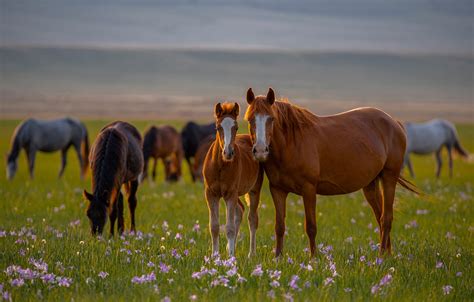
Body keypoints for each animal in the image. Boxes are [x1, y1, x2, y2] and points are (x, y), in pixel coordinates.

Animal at [203, 102, 264, 258]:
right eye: (218, 127)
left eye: (235, 127)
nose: (228, 153)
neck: (220, 166)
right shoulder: (211, 194)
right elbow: (214, 226)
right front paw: (215, 256)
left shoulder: (230, 193)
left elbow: (229, 228)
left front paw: (230, 257)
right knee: (240, 211)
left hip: (253, 190)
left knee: (252, 218)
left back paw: (251, 254)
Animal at [243, 87, 416, 258]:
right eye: (250, 119)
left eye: (271, 119)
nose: (260, 150)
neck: (291, 144)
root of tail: (394, 123)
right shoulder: (277, 190)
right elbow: (279, 226)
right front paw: (278, 257)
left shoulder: (309, 189)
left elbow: (311, 227)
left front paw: (313, 258)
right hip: (370, 185)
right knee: (380, 216)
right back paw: (387, 254)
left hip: (389, 178)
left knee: (386, 218)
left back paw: (381, 256)